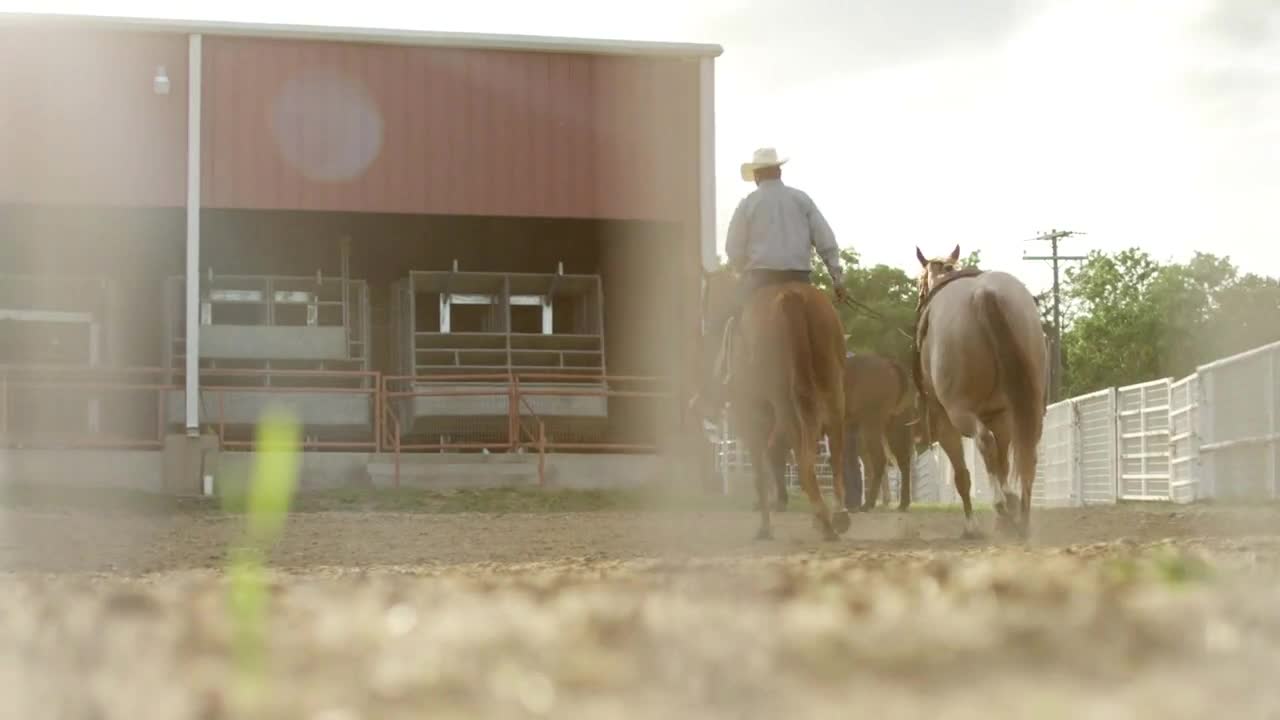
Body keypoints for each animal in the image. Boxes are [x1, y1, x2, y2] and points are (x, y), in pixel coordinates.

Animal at [701, 267, 849, 538]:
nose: (706, 326)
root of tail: (792, 296)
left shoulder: (750, 412)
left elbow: (761, 465)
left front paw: (765, 525)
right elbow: (773, 451)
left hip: (783, 401)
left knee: (800, 452)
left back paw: (822, 518)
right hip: (832, 389)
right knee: (833, 451)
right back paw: (838, 514)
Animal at [916, 243, 1044, 535]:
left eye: (919, 283)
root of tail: (982, 293)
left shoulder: (944, 421)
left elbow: (962, 474)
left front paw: (972, 525)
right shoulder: (1000, 413)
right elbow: (1003, 461)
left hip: (958, 412)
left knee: (984, 442)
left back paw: (1001, 505)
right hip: (1026, 405)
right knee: (1025, 452)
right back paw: (1021, 516)